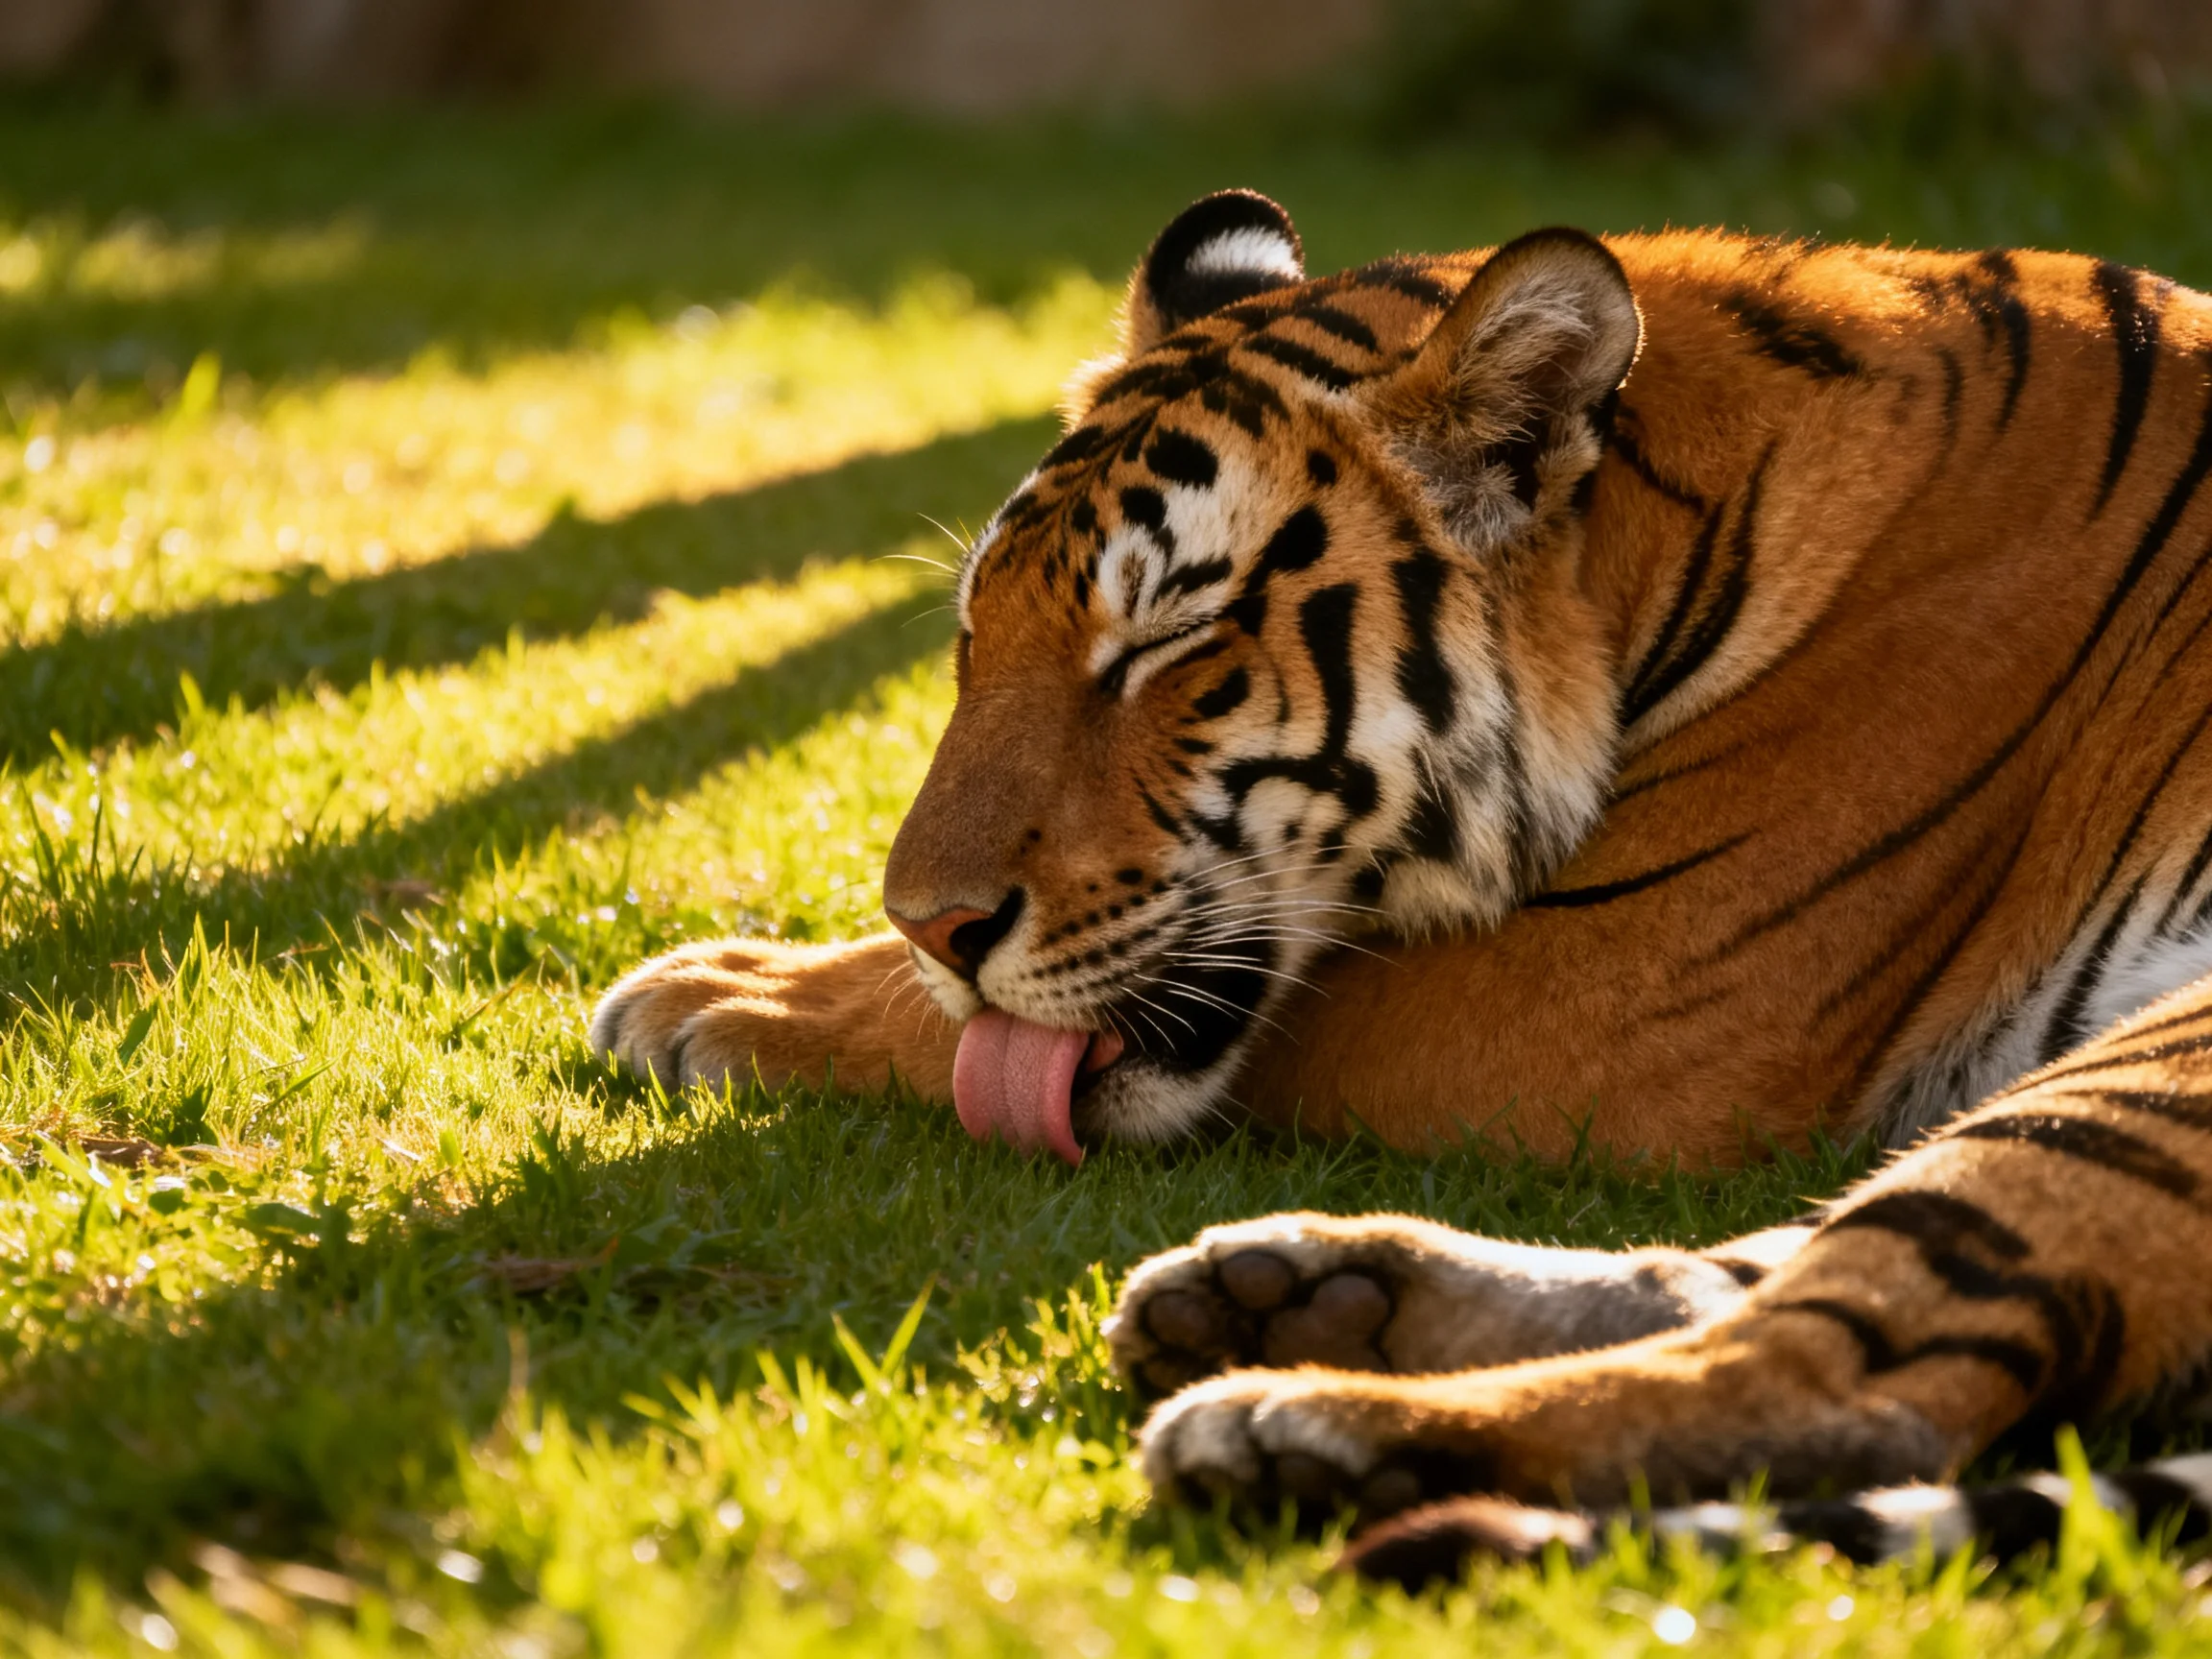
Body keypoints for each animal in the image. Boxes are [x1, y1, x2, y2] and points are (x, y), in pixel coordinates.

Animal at [590, 189, 2212, 1578]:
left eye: (1166, 649)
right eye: (975, 636)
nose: (928, 922)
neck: (1670, 548)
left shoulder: (1604, 995)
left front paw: (712, 995)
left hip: (2162, 1057)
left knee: (1840, 1378)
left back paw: (1299, 1422)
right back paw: (1295, 1295)